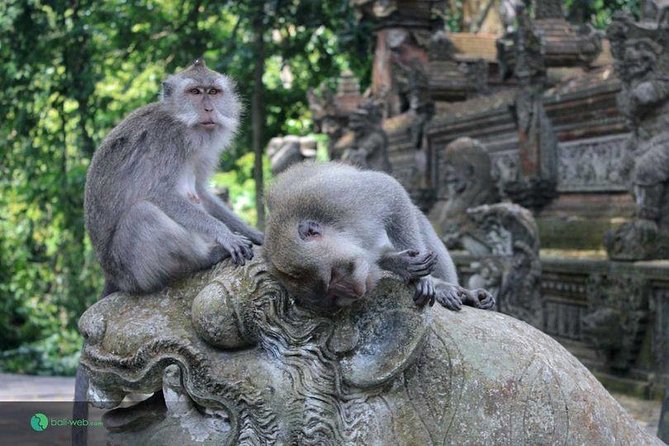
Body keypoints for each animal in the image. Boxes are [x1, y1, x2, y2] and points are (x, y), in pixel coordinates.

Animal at [263, 161, 494, 312]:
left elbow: (391, 192)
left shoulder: (338, 198)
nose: (356, 292)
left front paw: (425, 280)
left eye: (333, 275)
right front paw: (403, 265)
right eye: (332, 295)